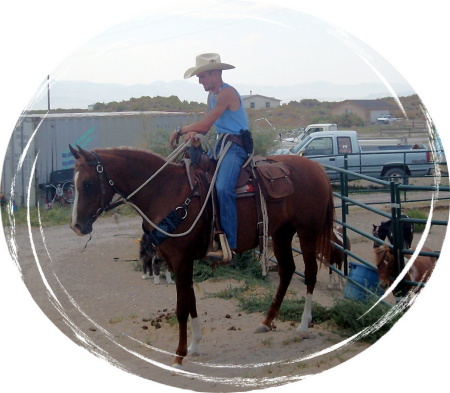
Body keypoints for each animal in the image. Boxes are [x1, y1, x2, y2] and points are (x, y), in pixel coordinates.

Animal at [67, 145, 334, 368]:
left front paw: (179, 355)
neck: (165, 191)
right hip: (281, 233)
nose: (76, 226)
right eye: (73, 183)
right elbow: (191, 301)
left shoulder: (181, 261)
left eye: (88, 183)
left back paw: (303, 326)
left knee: (310, 273)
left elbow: (181, 307)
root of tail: (316, 168)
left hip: (307, 232)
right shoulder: (177, 262)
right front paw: (194, 345)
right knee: (287, 270)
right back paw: (266, 322)